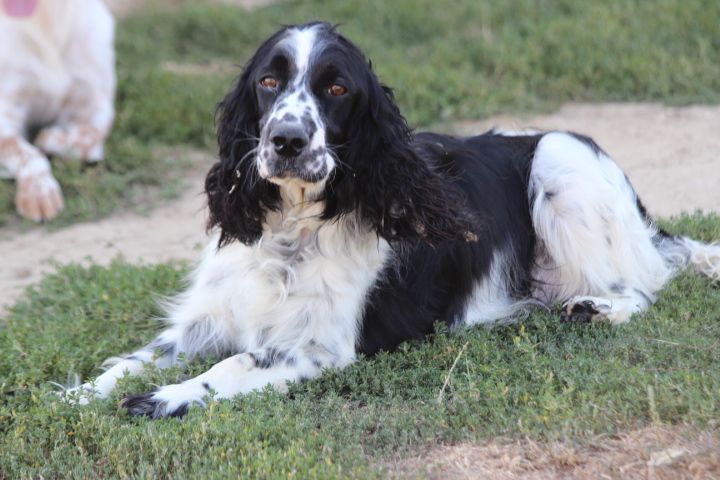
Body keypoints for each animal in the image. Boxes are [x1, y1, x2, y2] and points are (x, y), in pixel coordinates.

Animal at [0, 0, 114, 221]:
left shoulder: (96, 104)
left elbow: (84, 141)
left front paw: (50, 138)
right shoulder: (6, 112)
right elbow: (27, 153)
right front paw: (39, 191)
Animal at [64, 24, 716, 418]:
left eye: (336, 88)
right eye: (268, 81)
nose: (286, 140)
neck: (293, 226)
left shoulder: (319, 348)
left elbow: (232, 363)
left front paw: (164, 398)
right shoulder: (207, 317)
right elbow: (135, 357)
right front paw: (76, 395)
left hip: (561, 155)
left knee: (642, 286)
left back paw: (595, 307)